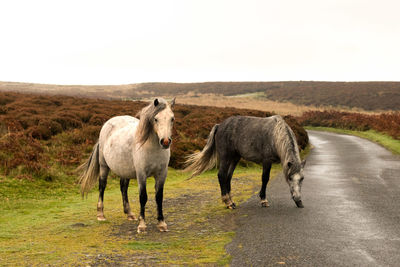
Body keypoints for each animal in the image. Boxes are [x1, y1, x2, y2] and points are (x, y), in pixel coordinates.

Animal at [79, 97, 175, 233]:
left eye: (172, 118)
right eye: (156, 119)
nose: (165, 142)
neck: (151, 146)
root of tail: (108, 123)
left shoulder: (162, 174)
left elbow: (159, 197)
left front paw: (161, 223)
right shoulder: (141, 174)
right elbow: (143, 197)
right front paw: (142, 225)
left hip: (124, 170)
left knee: (123, 188)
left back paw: (129, 213)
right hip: (104, 166)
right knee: (102, 186)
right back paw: (101, 214)